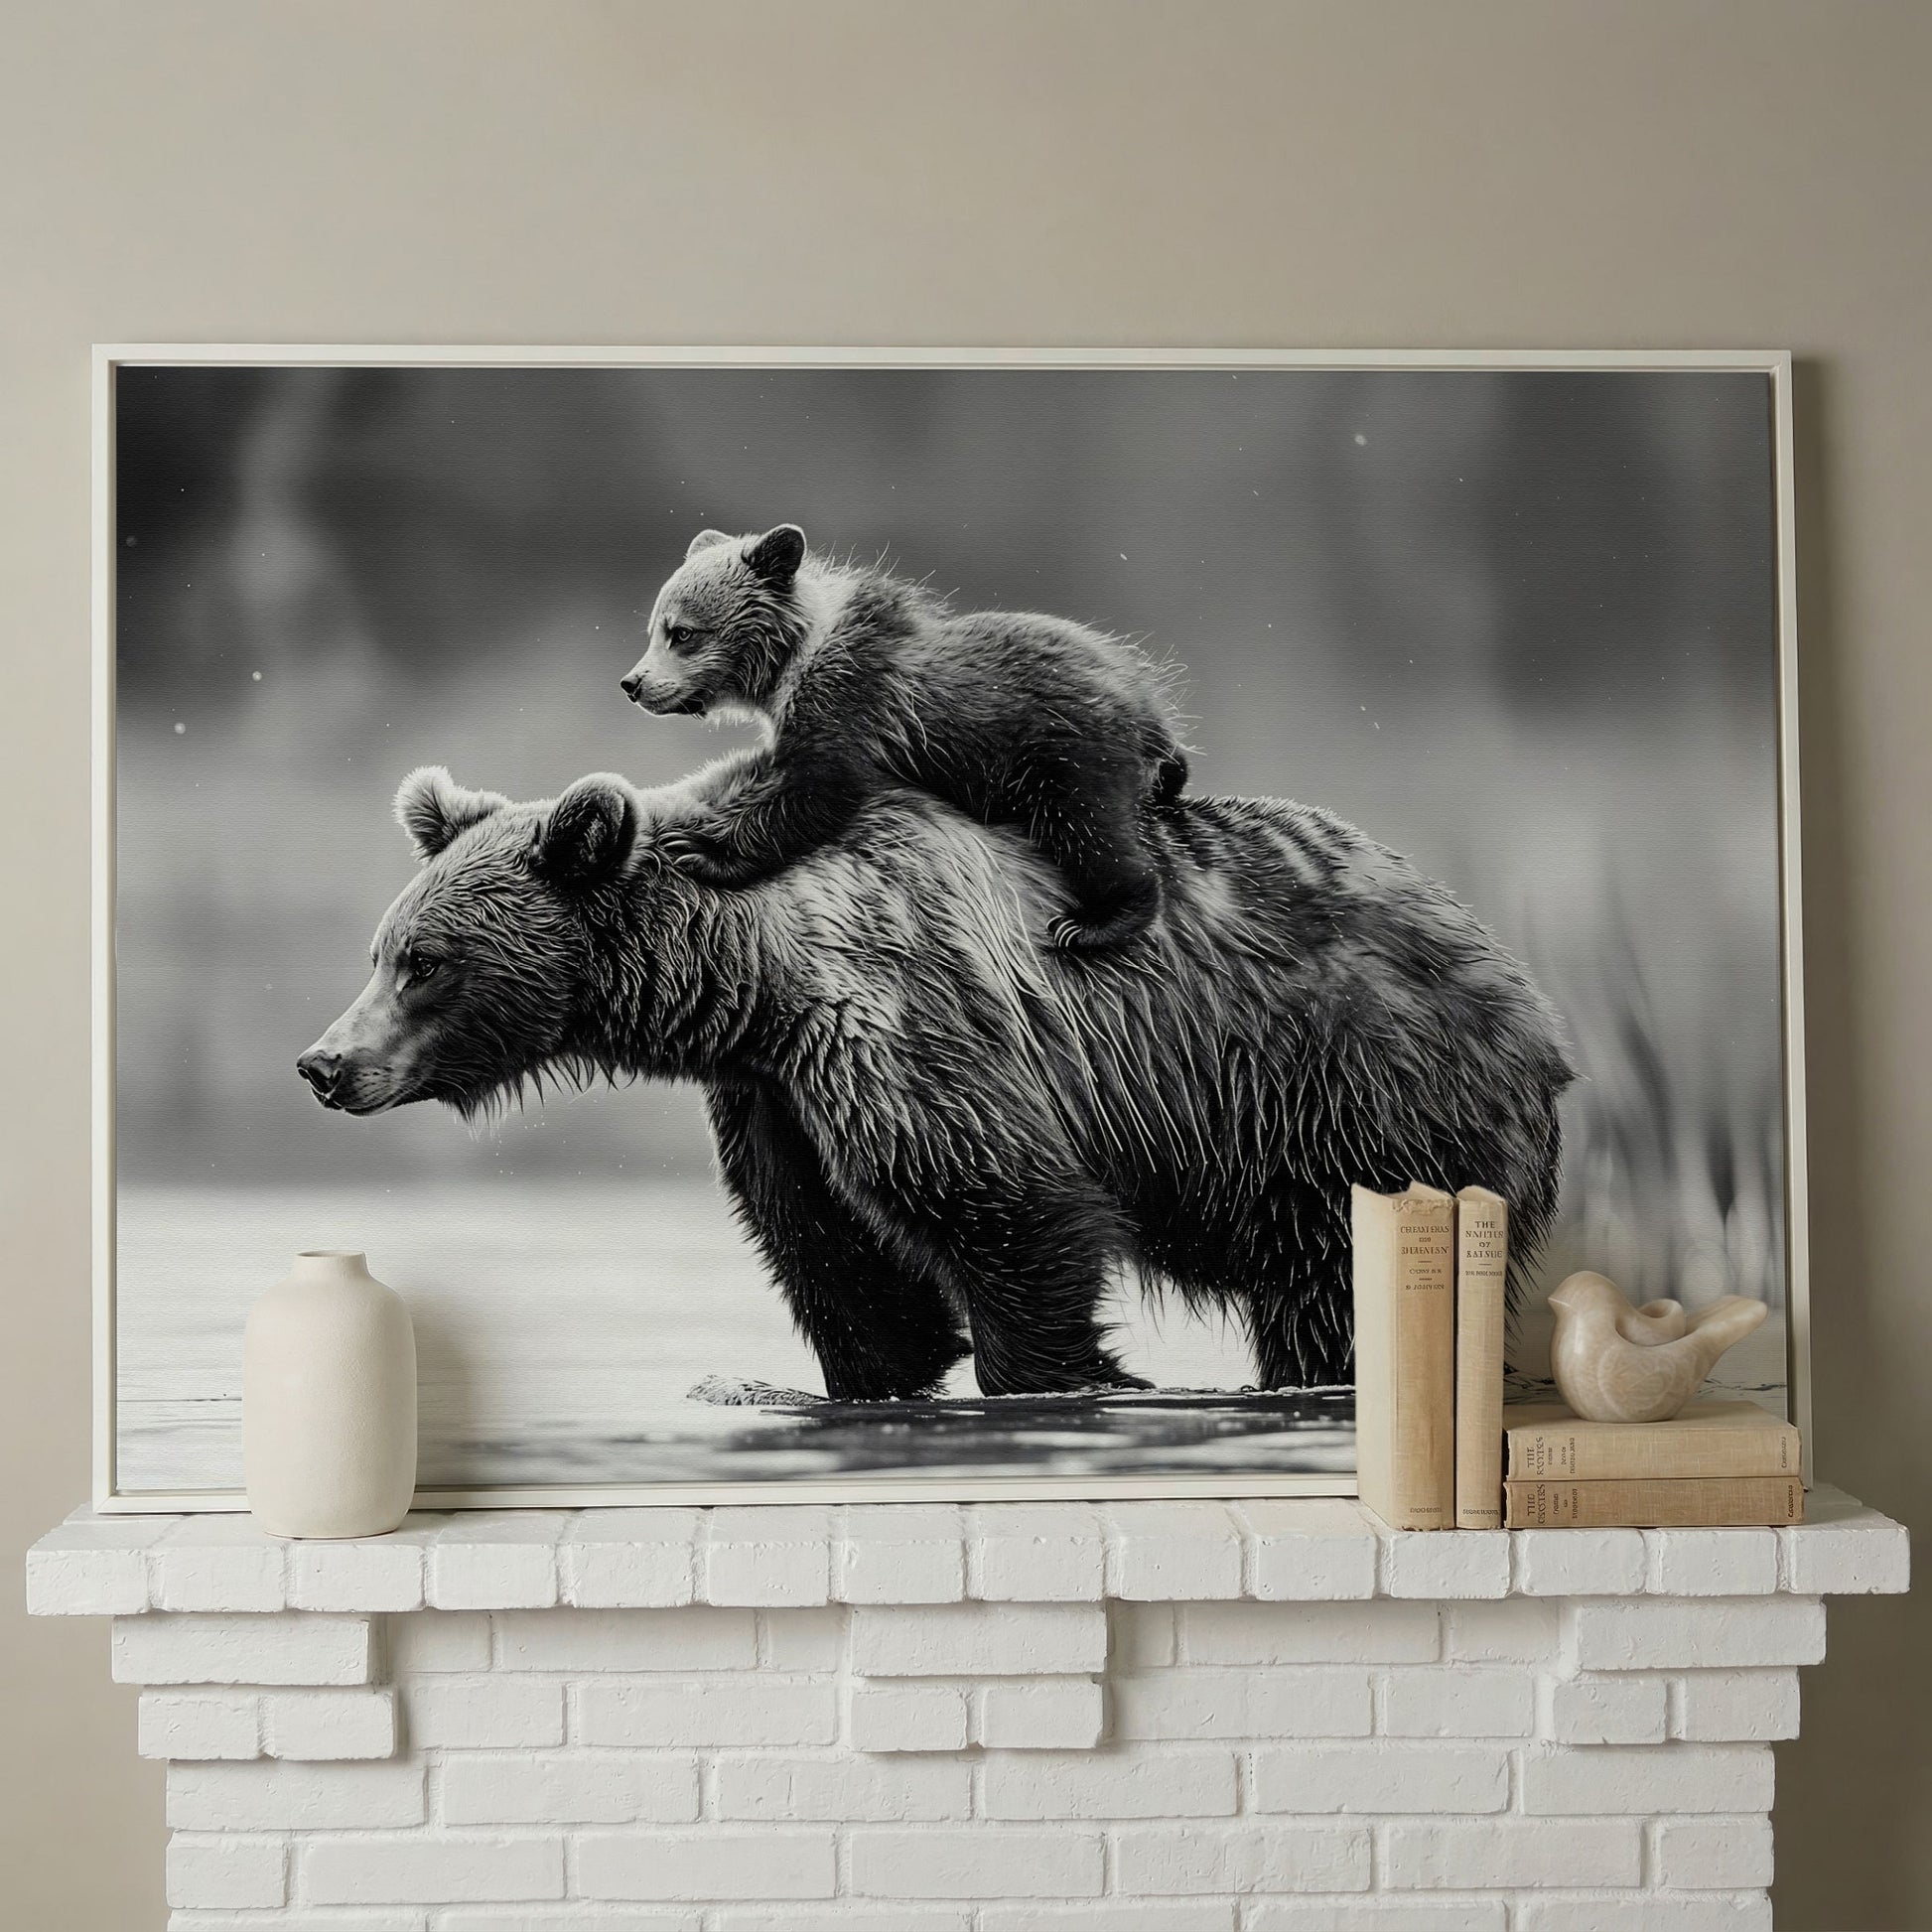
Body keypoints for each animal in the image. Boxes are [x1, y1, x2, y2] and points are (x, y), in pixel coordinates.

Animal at [297, 764, 1573, 1399]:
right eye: (381, 947)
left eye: (424, 961)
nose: (324, 1062)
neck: (747, 978)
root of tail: (1523, 989)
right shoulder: (774, 1100)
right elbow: (836, 1263)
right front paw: (875, 1373)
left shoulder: (904, 1026)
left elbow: (1008, 1212)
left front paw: (1069, 1376)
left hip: (1357, 1104)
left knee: (1337, 1297)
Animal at [617, 525, 1190, 950]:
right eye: (654, 627)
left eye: (682, 632)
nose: (633, 684)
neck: (791, 663)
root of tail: (1147, 706)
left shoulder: (850, 705)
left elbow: (817, 792)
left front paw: (698, 848)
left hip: (1065, 752)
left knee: (1090, 830)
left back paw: (1095, 921)